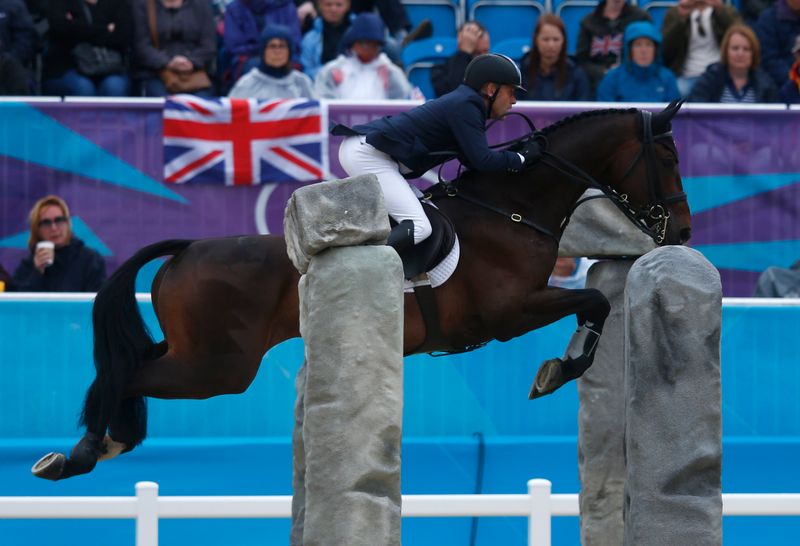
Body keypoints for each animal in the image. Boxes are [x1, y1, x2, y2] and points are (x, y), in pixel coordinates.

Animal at [34, 101, 692, 476]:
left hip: (200, 354)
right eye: (666, 154)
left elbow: (595, 302)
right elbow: (595, 301)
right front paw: (559, 369)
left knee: (128, 364)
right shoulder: (509, 314)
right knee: (129, 373)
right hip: (217, 368)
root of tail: (190, 247)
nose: (682, 230)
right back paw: (83, 456)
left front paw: (562, 364)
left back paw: (103, 444)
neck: (513, 208)